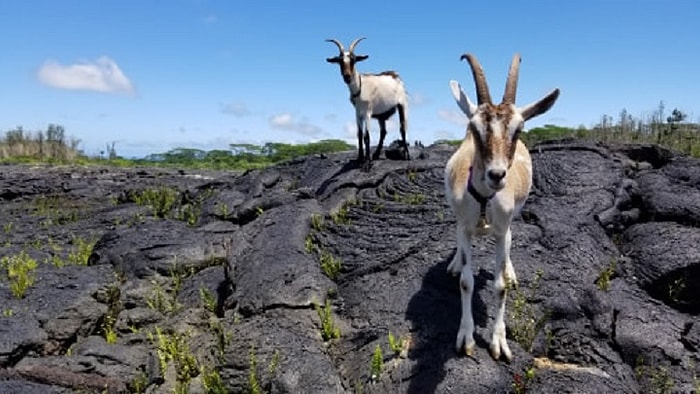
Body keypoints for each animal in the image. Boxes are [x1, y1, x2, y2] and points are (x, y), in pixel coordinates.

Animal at [326, 37, 410, 166]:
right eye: (340, 61)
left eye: (354, 60)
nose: (347, 77)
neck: (359, 88)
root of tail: (395, 75)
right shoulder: (357, 113)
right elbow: (359, 135)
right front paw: (359, 159)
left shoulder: (367, 113)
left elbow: (367, 136)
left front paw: (367, 162)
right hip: (381, 114)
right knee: (383, 131)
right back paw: (376, 154)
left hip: (402, 104)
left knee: (403, 128)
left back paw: (406, 155)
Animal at [446, 53, 560, 362]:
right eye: (475, 128)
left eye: (518, 129)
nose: (496, 175)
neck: (485, 201)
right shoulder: (464, 227)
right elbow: (466, 282)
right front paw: (465, 337)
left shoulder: (501, 230)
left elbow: (499, 286)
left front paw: (499, 341)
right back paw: (454, 263)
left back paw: (510, 270)